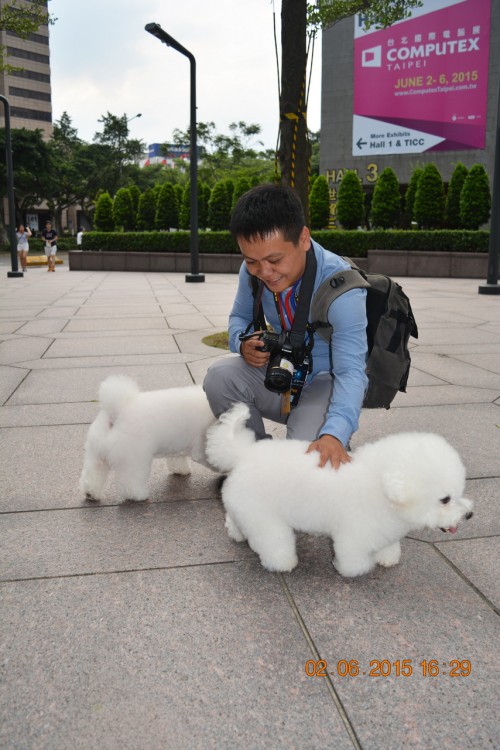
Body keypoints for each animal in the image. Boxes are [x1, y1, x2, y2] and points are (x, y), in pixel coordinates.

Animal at [80, 376, 215, 506]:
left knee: (93, 474)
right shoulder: (201, 448)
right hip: (134, 459)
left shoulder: (175, 447)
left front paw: (180, 470)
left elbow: (177, 459)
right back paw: (138, 495)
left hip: (97, 454)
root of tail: (117, 411)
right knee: (130, 481)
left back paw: (90, 493)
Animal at [205, 406, 474, 576]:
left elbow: (387, 546)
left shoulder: (384, 528)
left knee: (236, 519)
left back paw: (237, 534)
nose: (468, 515)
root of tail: (244, 453)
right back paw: (282, 563)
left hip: (245, 505)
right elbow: (354, 562)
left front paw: (387, 557)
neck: (382, 488)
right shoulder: (354, 535)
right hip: (265, 516)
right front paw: (350, 568)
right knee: (272, 540)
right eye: (445, 499)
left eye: (460, 491)